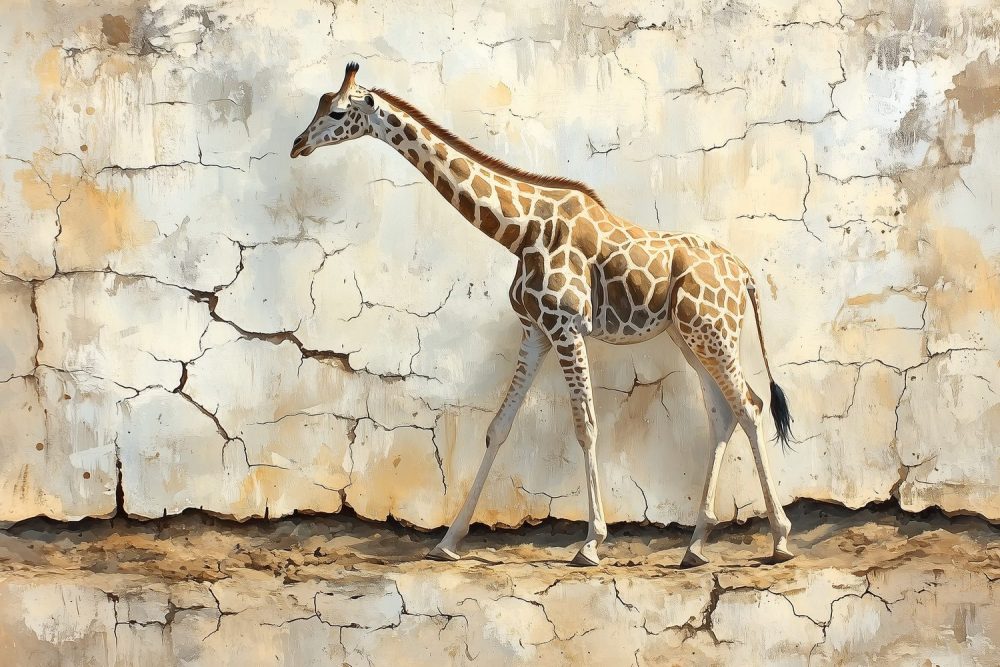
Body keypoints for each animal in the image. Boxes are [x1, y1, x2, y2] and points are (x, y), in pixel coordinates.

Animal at [291, 63, 795, 567]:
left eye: (337, 111)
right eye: (320, 102)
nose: (298, 145)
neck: (519, 230)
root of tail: (744, 272)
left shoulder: (567, 327)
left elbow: (586, 427)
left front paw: (591, 543)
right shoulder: (534, 329)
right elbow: (498, 427)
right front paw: (448, 542)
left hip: (712, 332)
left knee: (749, 407)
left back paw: (780, 539)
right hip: (689, 336)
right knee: (723, 413)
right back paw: (695, 546)